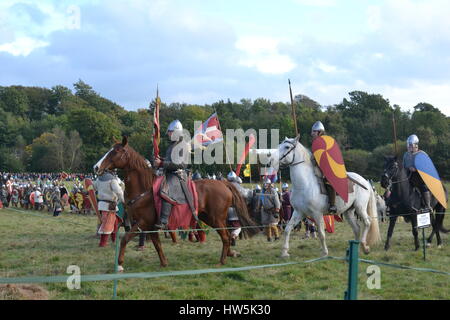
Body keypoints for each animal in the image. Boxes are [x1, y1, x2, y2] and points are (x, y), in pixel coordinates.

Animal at [96, 136, 256, 272]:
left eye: (116, 151)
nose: (96, 167)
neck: (143, 189)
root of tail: (224, 184)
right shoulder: (150, 226)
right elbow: (157, 245)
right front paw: (164, 263)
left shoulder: (142, 223)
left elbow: (124, 239)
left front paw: (119, 264)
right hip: (208, 217)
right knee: (227, 235)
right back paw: (231, 253)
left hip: (216, 218)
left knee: (225, 236)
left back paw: (221, 261)